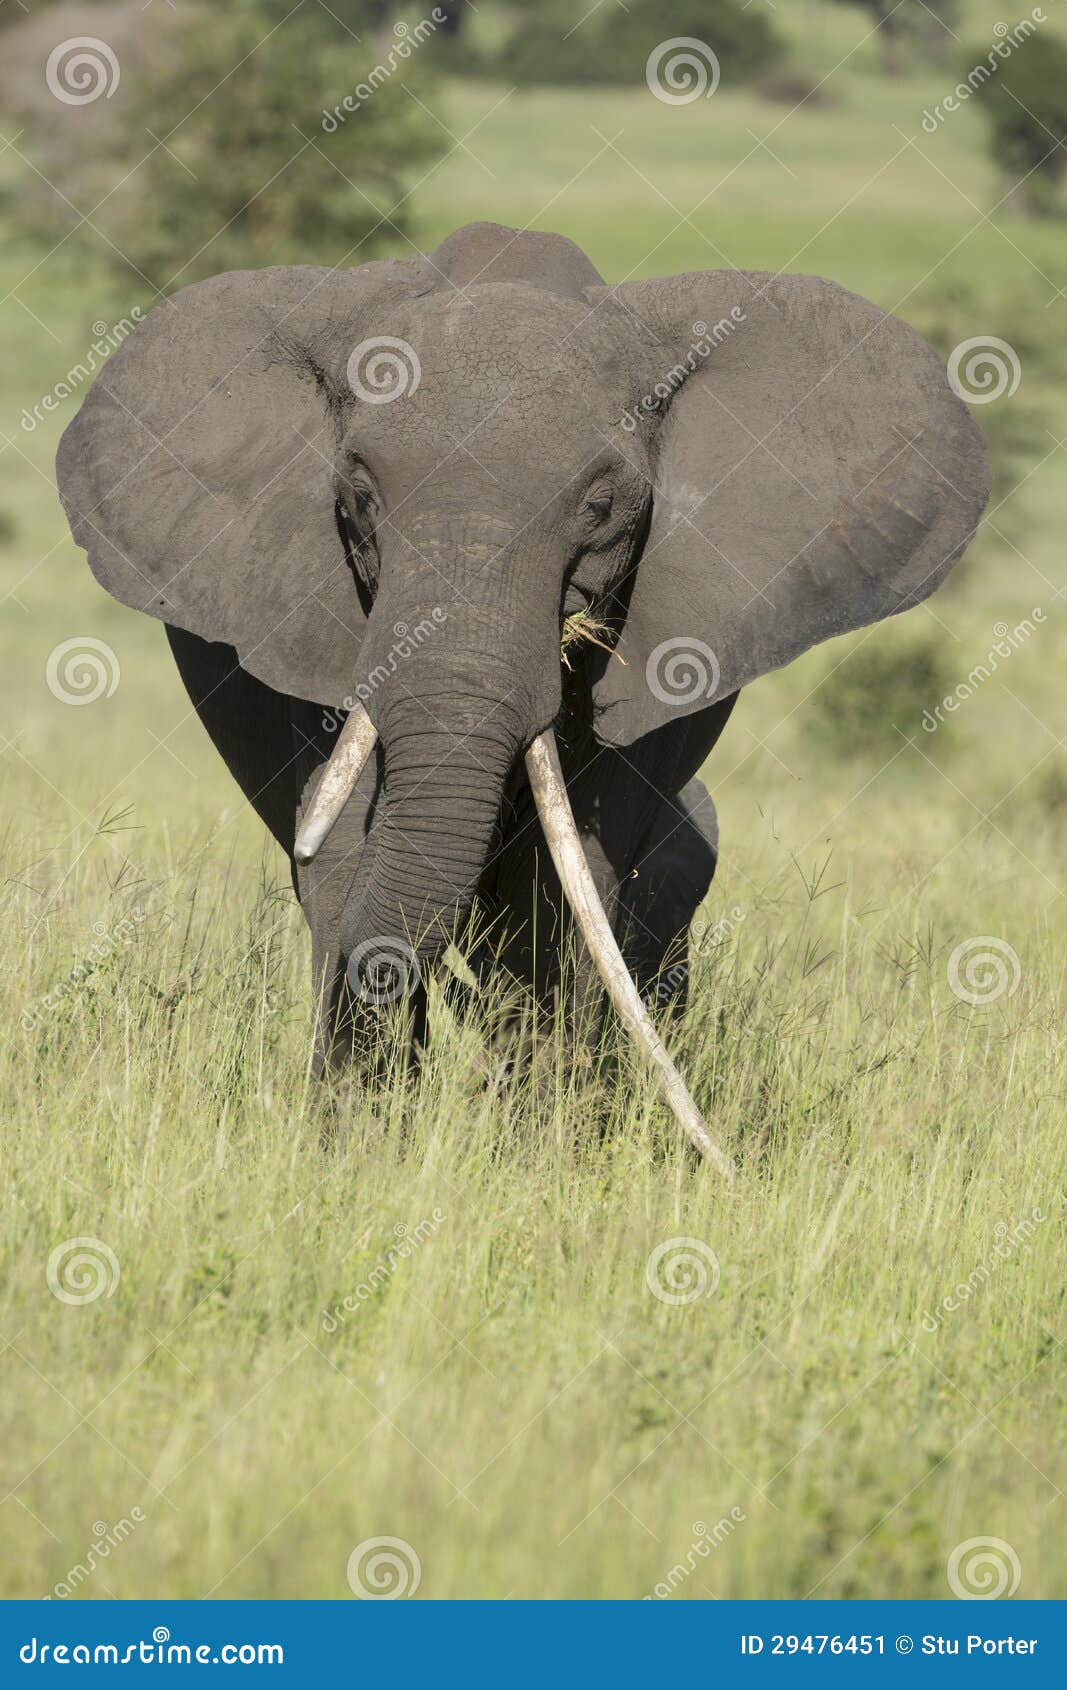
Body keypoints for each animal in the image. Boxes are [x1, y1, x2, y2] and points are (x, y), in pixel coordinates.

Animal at [56, 218, 994, 1169]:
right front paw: (359, 1152)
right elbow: (351, 847)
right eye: (358, 495)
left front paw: (546, 1153)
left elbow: (562, 884)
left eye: (600, 505)